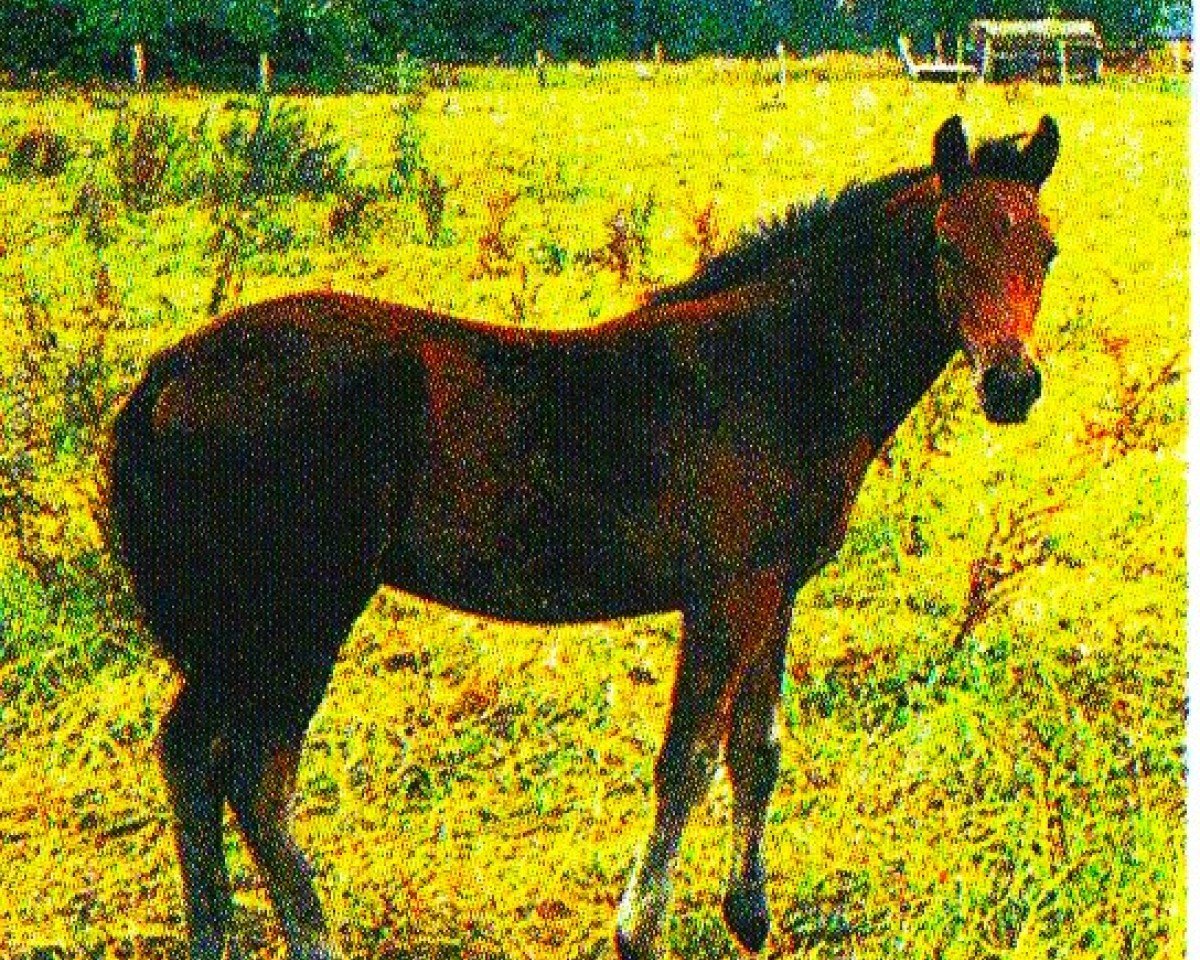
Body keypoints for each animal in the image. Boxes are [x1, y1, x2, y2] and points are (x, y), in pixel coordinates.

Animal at [106, 114, 1060, 960]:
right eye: (946, 247)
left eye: (1045, 250)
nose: (1012, 385)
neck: (774, 367)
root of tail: (165, 375)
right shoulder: (723, 594)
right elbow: (688, 758)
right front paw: (640, 929)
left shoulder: (773, 588)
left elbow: (756, 750)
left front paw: (749, 918)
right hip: (296, 615)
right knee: (253, 774)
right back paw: (310, 938)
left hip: (243, 627)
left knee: (190, 756)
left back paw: (212, 936)